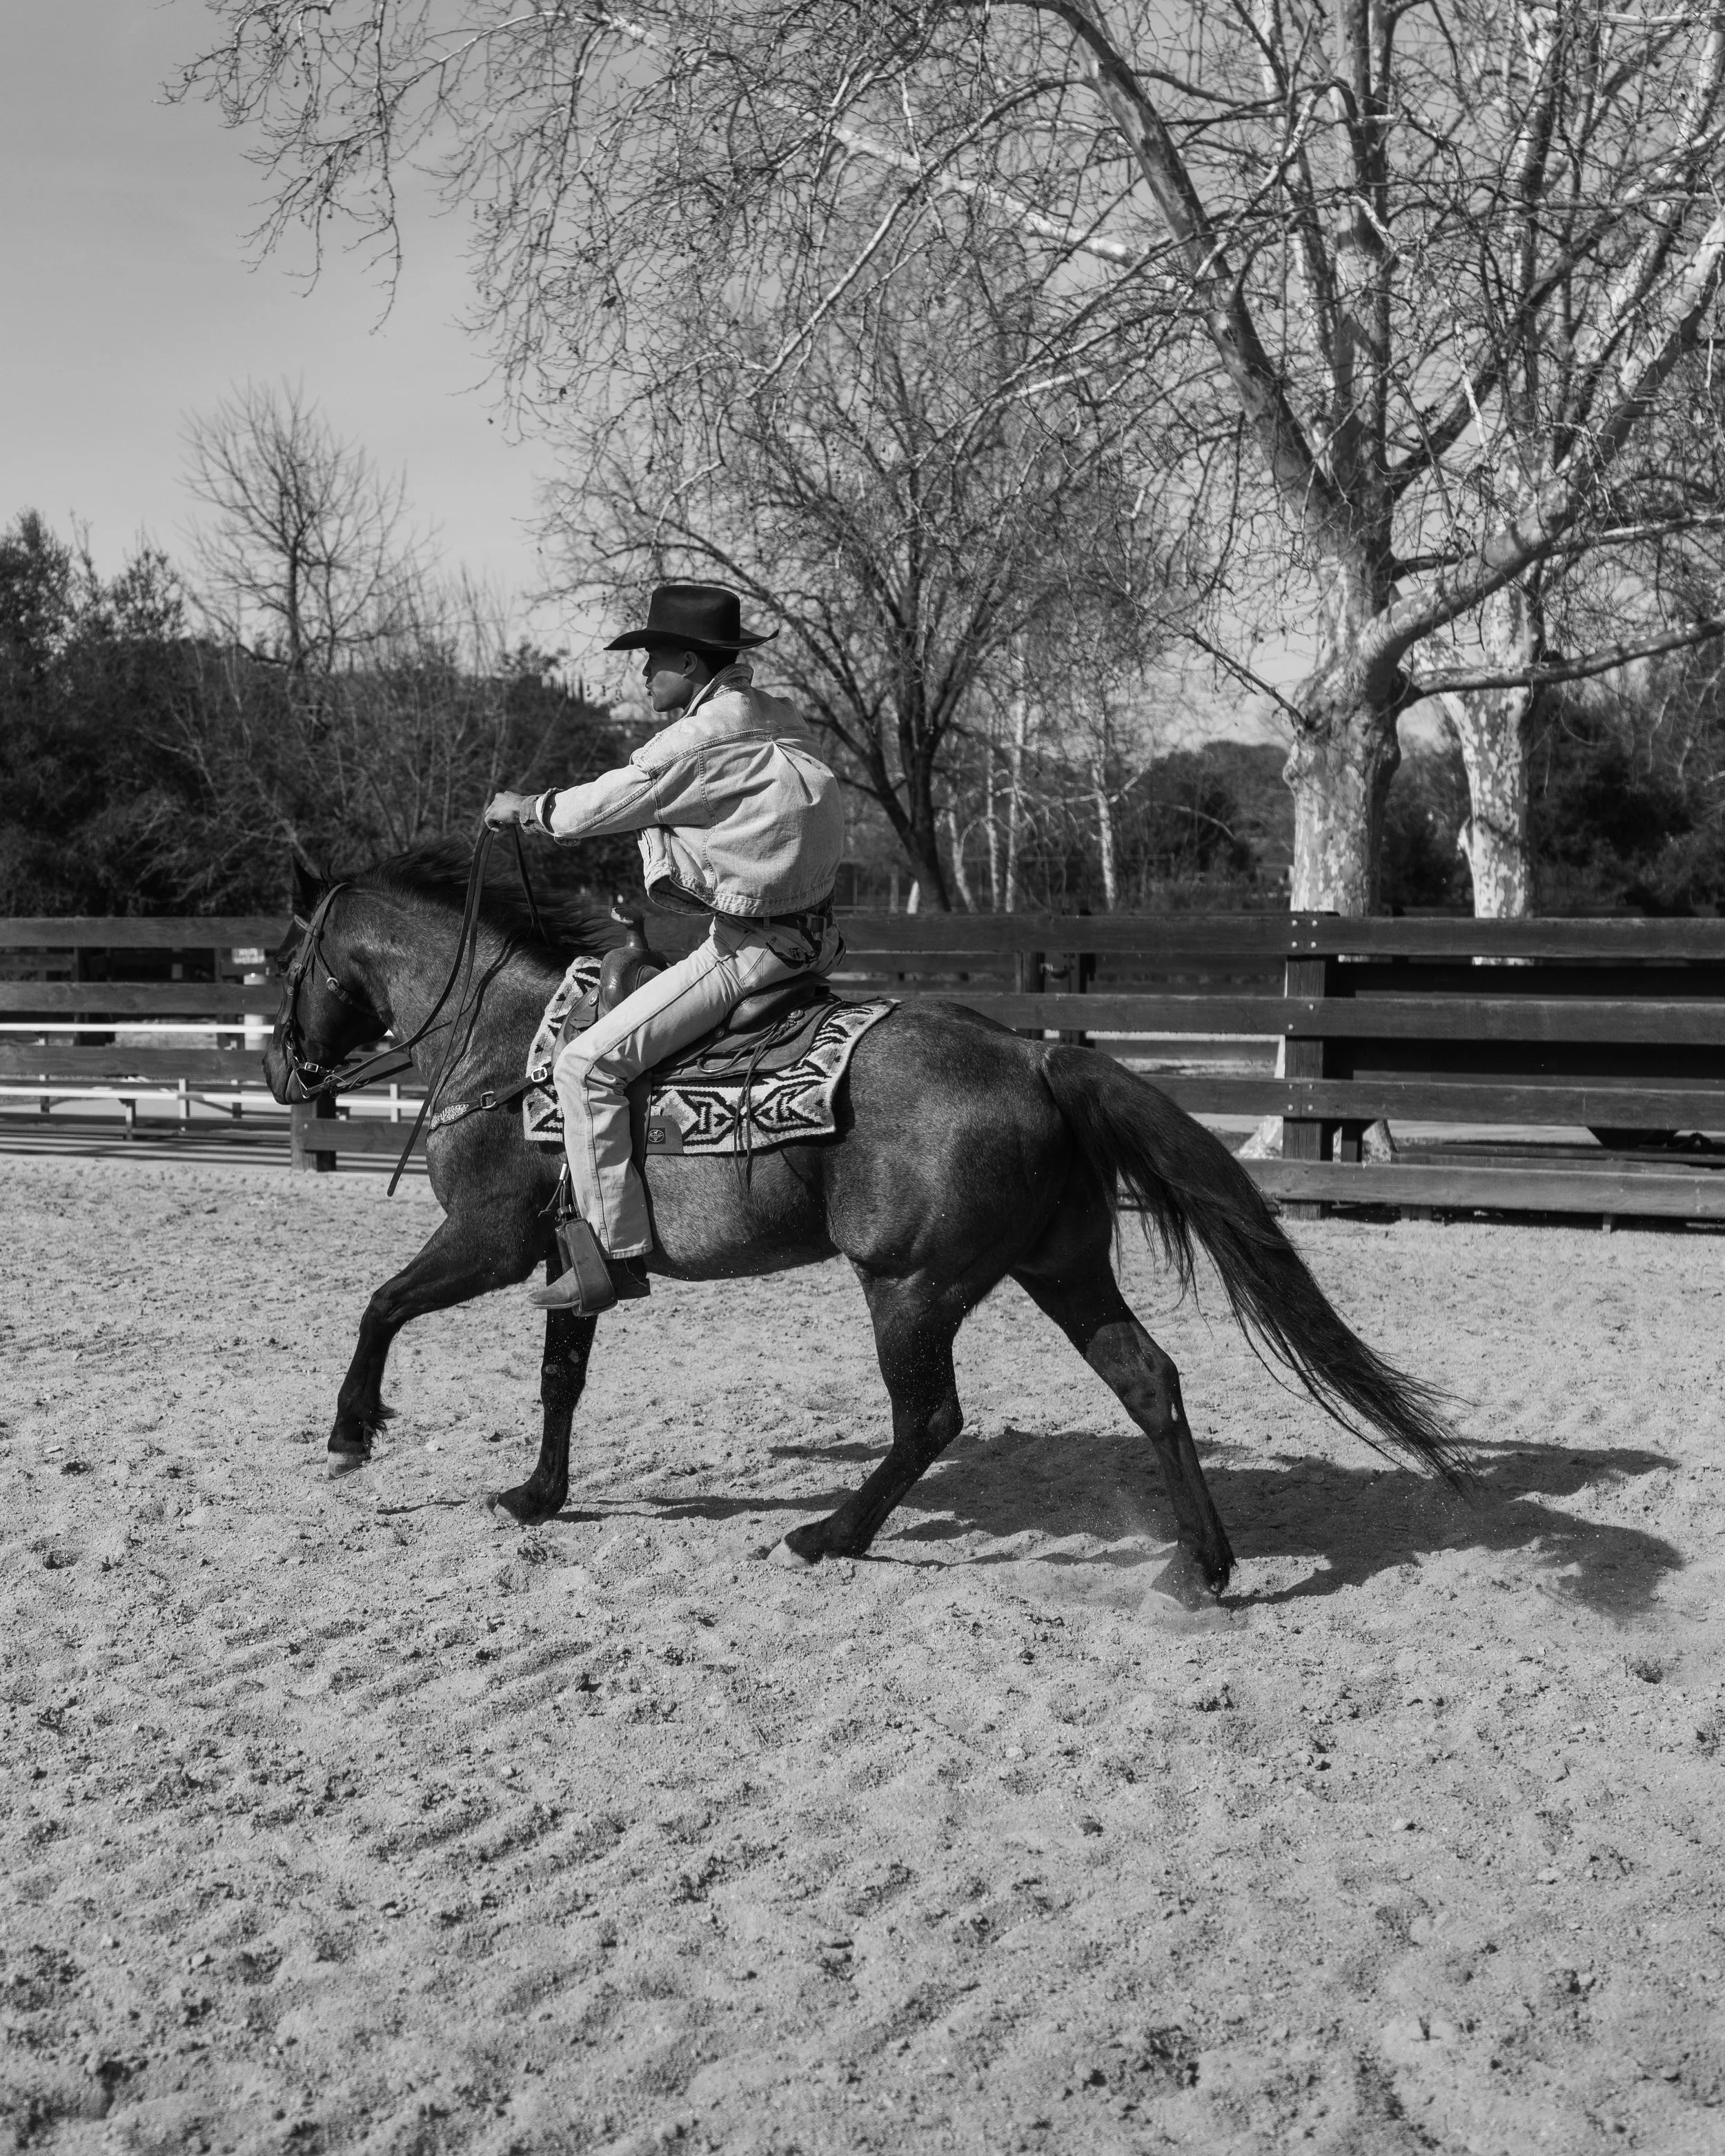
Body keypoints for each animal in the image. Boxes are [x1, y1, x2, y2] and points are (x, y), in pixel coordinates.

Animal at [263, 841, 1463, 1605]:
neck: (508, 1039)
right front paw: (537, 1495)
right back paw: (1201, 1568)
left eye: (286, 960)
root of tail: (1033, 1056)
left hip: (909, 1287)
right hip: (1063, 1267)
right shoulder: (573, 1256)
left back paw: (827, 1534)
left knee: (930, 1419)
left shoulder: (492, 1239)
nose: (283, 1070)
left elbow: (381, 1306)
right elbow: (562, 1377)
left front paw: (351, 1432)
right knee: (1149, 1381)